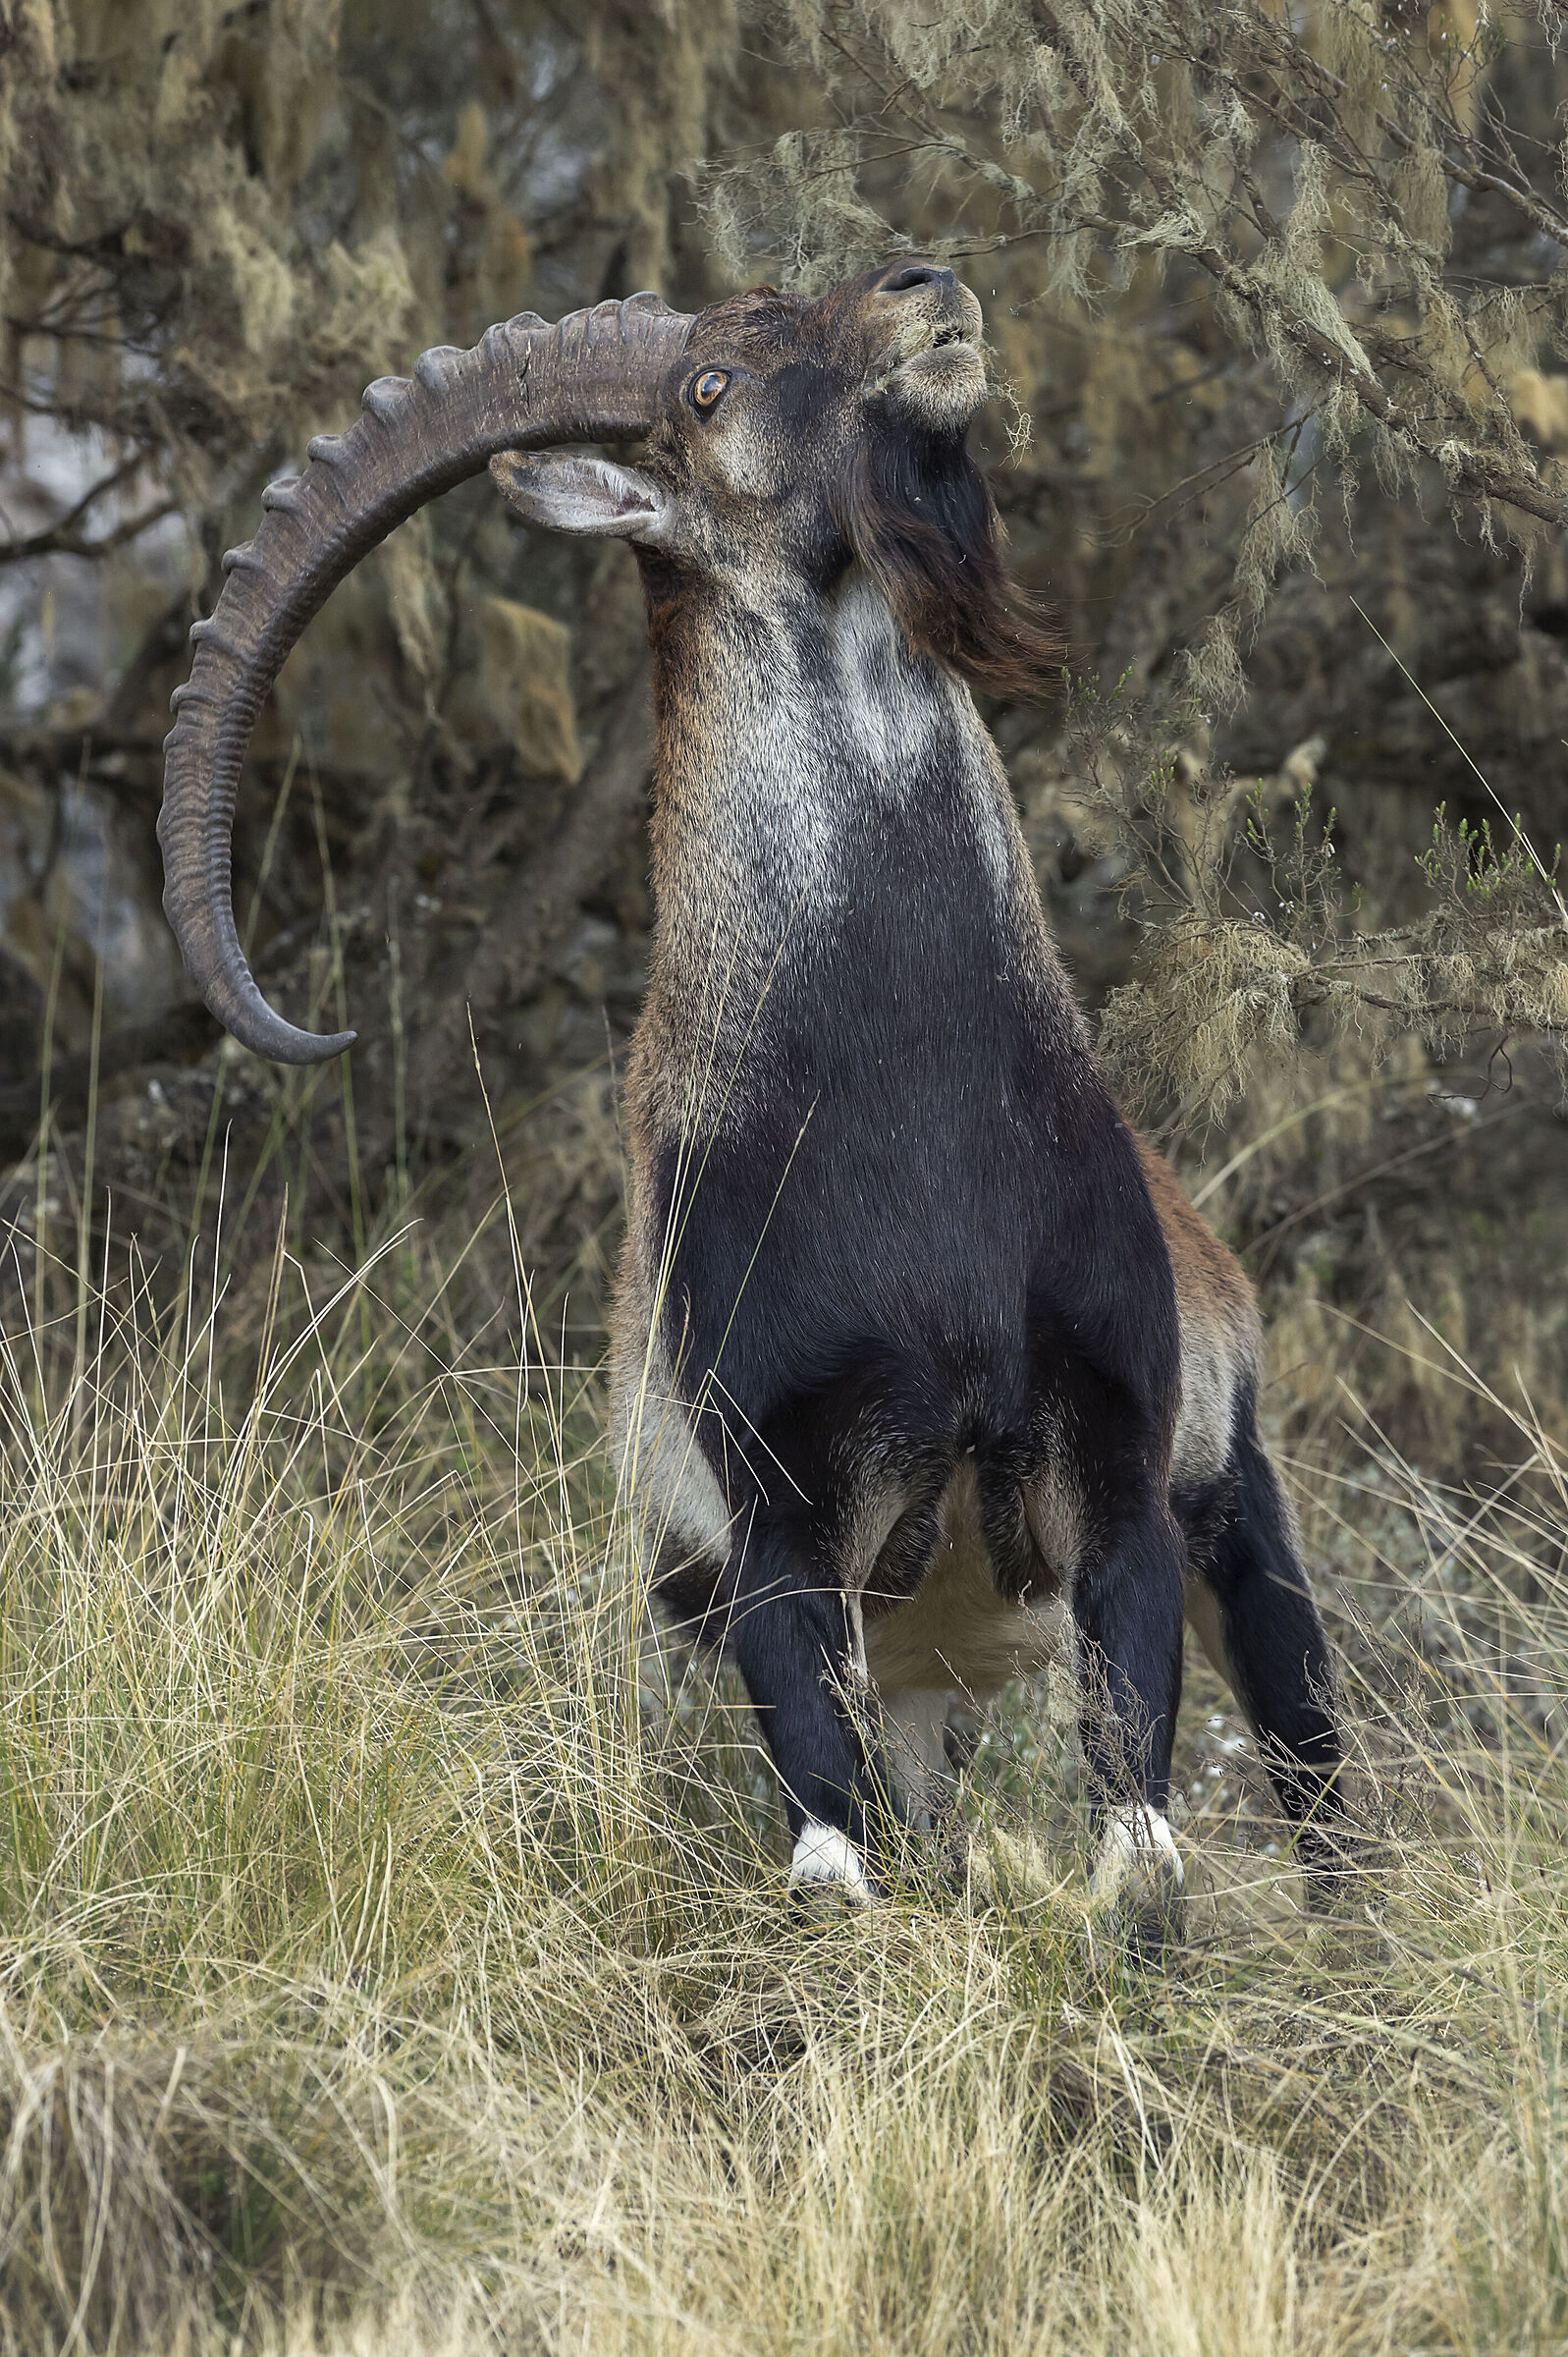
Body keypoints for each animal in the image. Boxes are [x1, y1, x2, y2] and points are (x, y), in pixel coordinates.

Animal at [160, 261, 1345, 1948]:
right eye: (708, 385)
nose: (925, 289)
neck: (916, 1135)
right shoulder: (780, 1530)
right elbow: (834, 1869)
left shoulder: (1116, 1475)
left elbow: (1141, 1858)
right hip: (782, 1648)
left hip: (1241, 1532)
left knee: (1317, 1788)